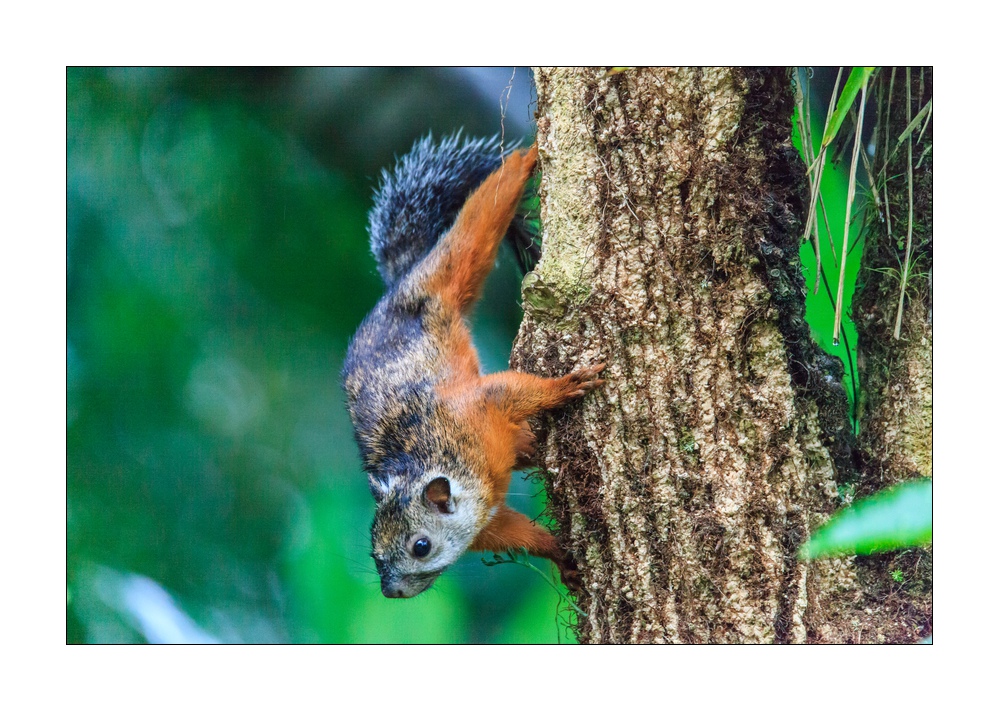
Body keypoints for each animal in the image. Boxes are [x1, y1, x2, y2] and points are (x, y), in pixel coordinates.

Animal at [342, 134, 604, 598]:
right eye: (374, 553)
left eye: (421, 546)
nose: (391, 592)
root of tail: (397, 285)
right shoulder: (486, 523)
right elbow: (519, 532)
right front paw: (562, 557)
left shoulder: (477, 409)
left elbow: (514, 390)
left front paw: (567, 384)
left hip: (448, 269)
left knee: (480, 218)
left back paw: (526, 157)